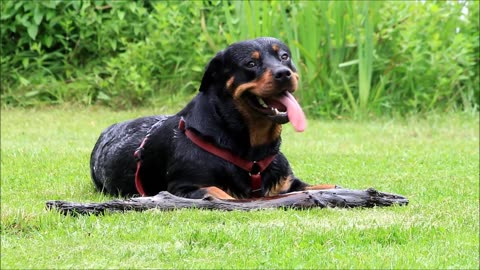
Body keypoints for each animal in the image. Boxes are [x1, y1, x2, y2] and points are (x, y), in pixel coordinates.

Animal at [91, 37, 338, 199]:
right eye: (251, 63)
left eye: (284, 56)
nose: (284, 73)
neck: (253, 151)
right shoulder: (185, 186)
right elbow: (220, 194)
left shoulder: (288, 183)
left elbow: (327, 186)